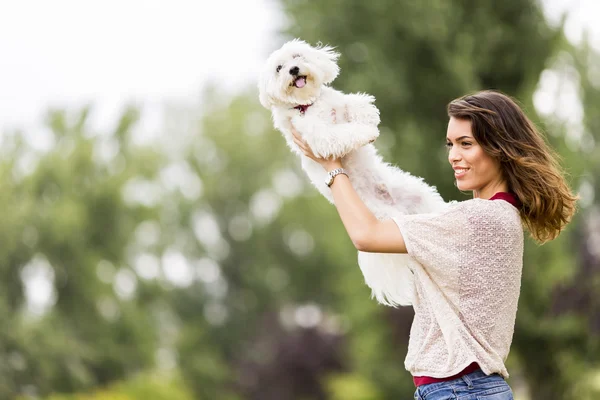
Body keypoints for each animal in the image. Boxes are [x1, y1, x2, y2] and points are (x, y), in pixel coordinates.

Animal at [258, 39, 446, 304]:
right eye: (279, 68)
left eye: (297, 57)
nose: (293, 70)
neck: (308, 104)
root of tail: (396, 206)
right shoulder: (319, 137)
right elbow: (343, 133)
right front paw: (366, 133)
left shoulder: (341, 102)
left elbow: (357, 103)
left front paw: (368, 120)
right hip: (383, 220)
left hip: (419, 196)